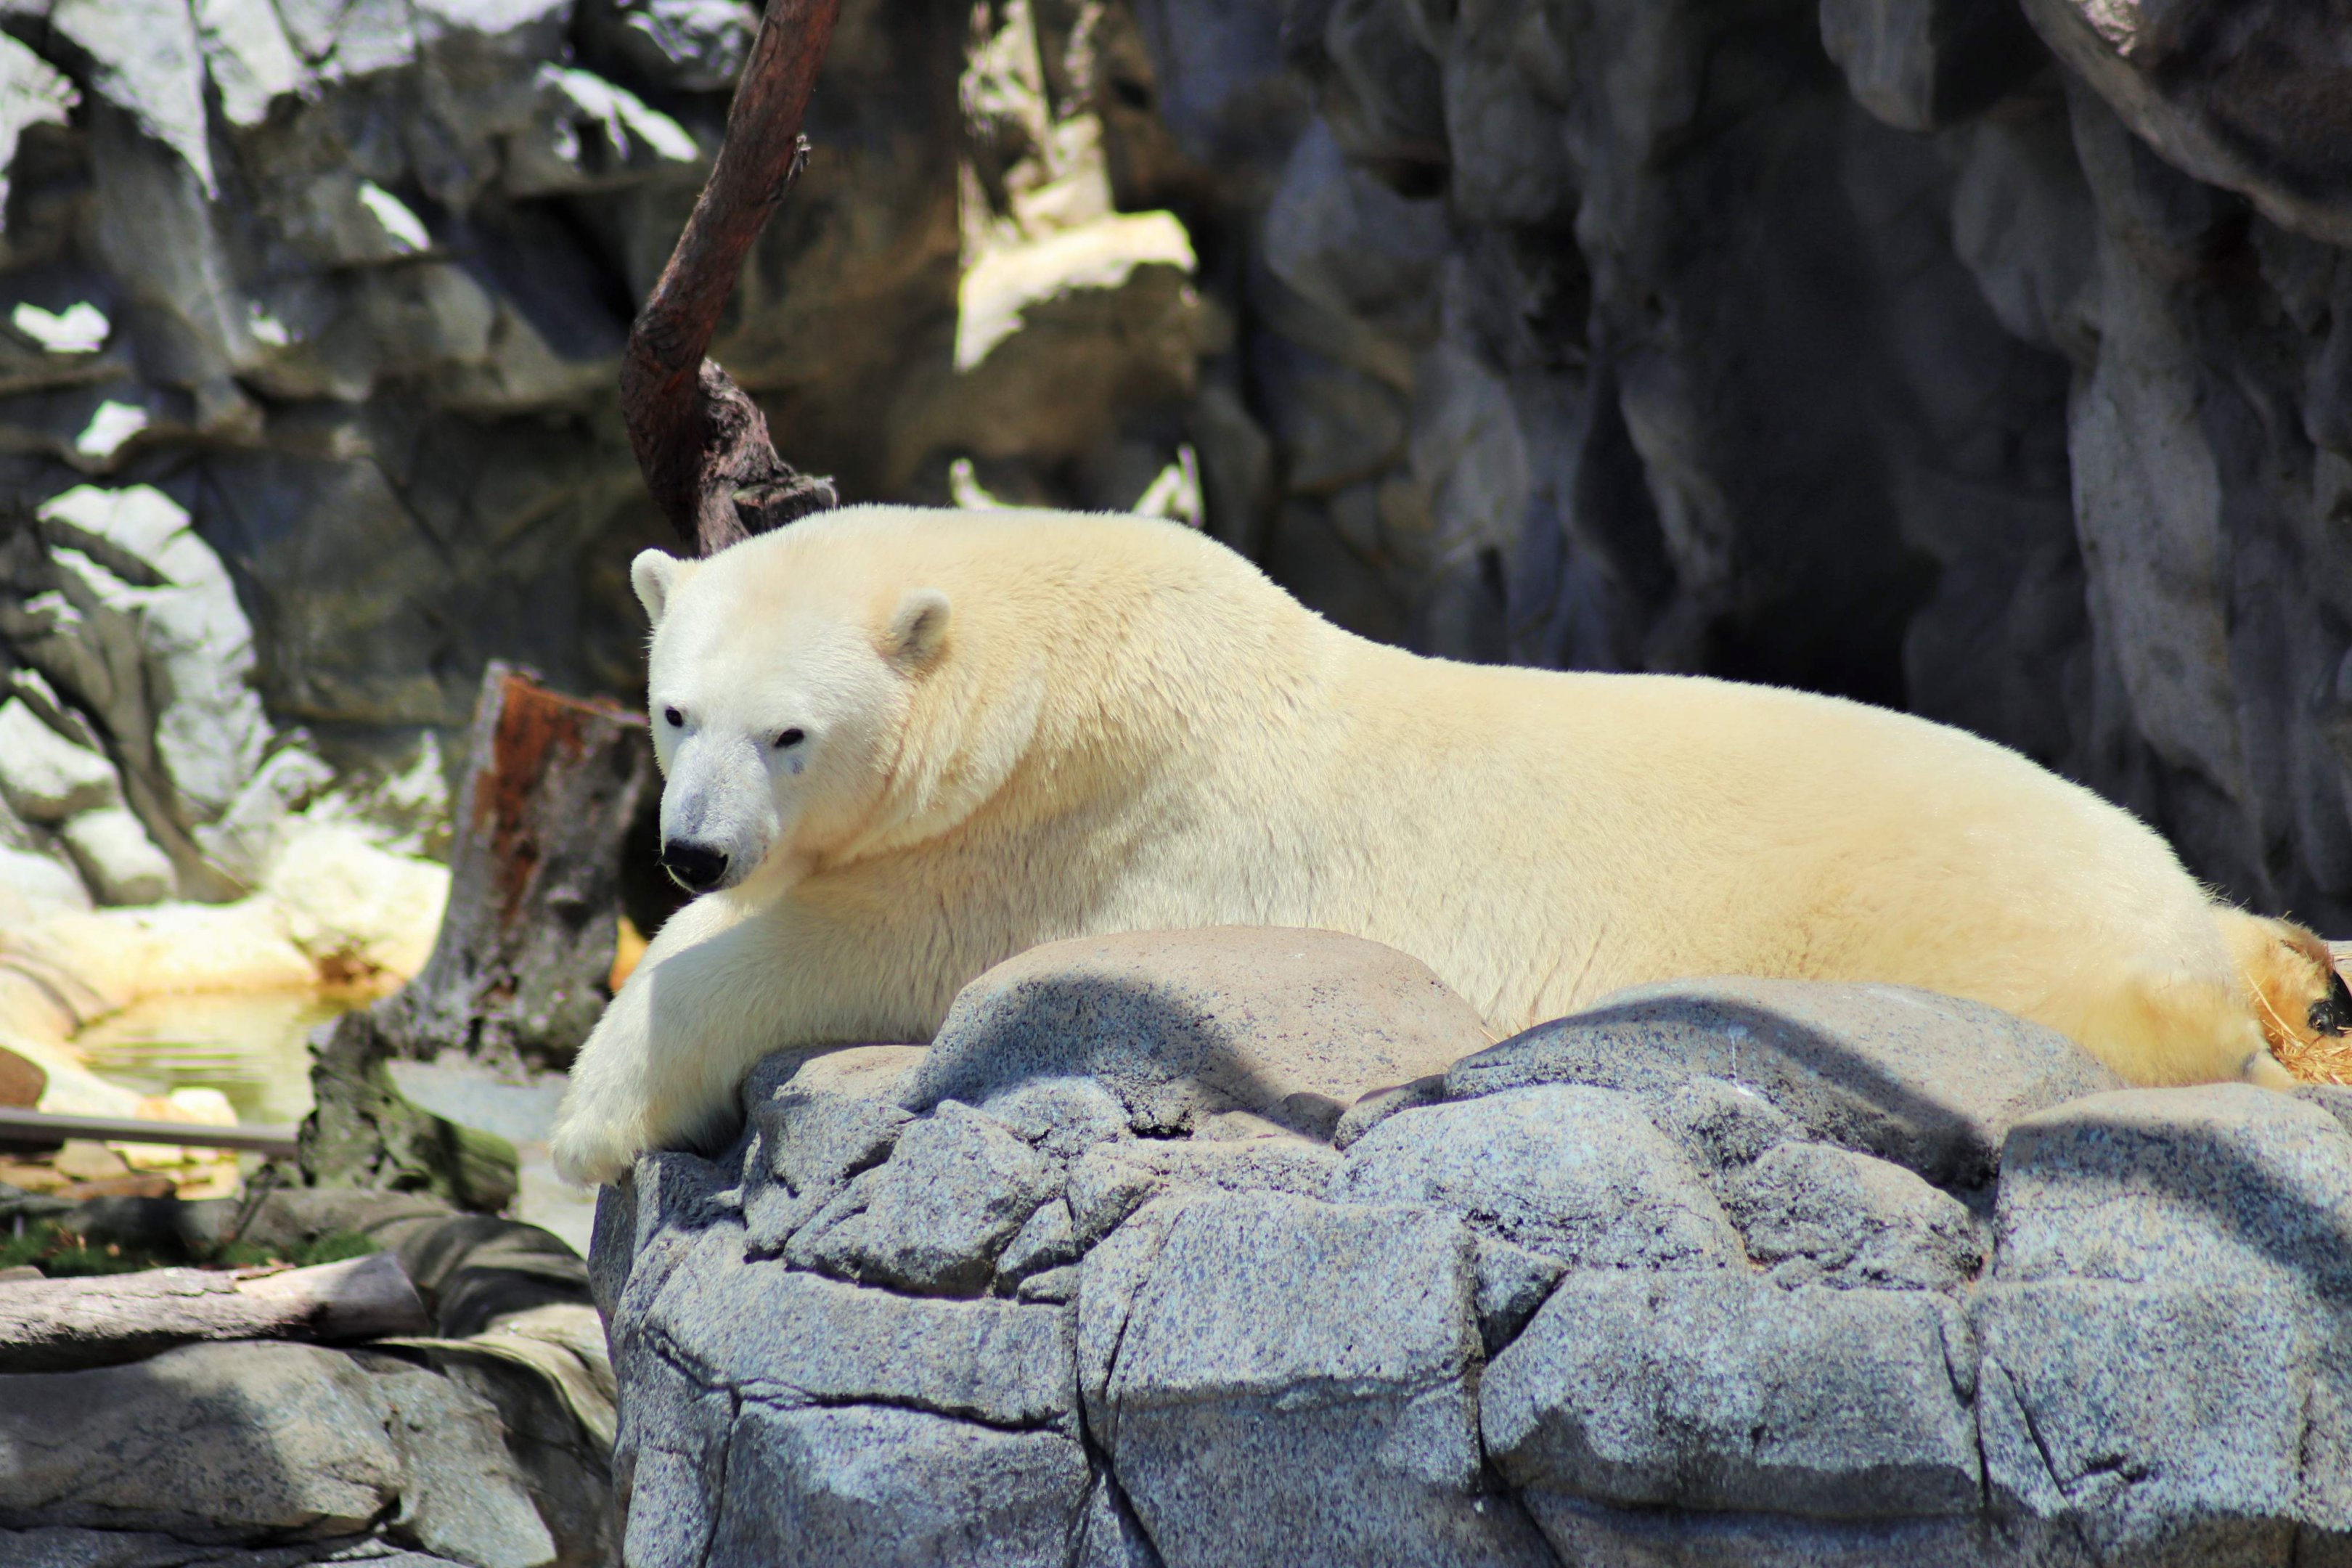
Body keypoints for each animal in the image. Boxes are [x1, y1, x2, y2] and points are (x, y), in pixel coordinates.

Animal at [552, 503, 2319, 1186]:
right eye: (673, 714)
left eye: (791, 732)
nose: (694, 855)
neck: (1074, 668)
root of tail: (2189, 933)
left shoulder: (1086, 837)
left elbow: (876, 943)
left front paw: (593, 1117)